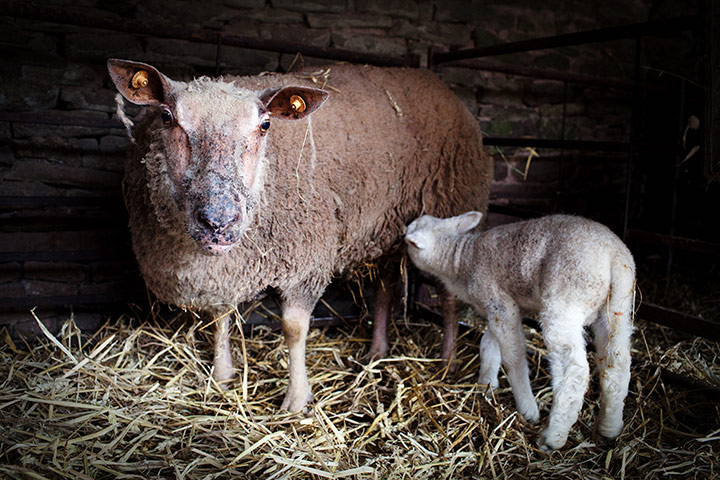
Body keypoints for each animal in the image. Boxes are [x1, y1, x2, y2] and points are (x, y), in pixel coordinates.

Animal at [107, 59, 492, 412]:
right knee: (385, 288)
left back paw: (447, 360)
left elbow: (294, 329)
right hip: (386, 225)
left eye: (264, 125)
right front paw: (222, 373)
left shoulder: (306, 259)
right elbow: (220, 314)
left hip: (453, 203)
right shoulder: (224, 267)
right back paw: (377, 351)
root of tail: (436, 81)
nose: (219, 221)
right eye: (166, 118)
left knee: (449, 297)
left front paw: (296, 399)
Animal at [404, 212, 635, 451]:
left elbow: (513, 358)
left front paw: (527, 408)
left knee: (575, 371)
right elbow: (488, 344)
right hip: (617, 308)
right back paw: (608, 428)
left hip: (565, 303)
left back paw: (553, 436)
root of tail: (613, 256)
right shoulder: (497, 311)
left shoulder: (500, 305)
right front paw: (486, 384)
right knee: (616, 364)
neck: (462, 260)